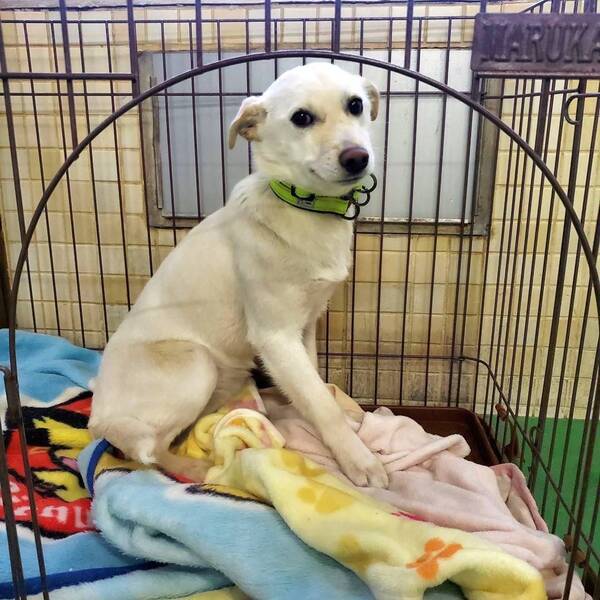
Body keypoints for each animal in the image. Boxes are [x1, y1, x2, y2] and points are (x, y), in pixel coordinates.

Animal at [89, 62, 389, 488]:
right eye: (301, 117)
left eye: (356, 105)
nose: (357, 158)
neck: (306, 209)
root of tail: (98, 418)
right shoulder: (276, 336)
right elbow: (319, 402)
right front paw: (358, 459)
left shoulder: (305, 328)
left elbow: (315, 389)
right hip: (195, 363)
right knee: (148, 450)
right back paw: (200, 469)